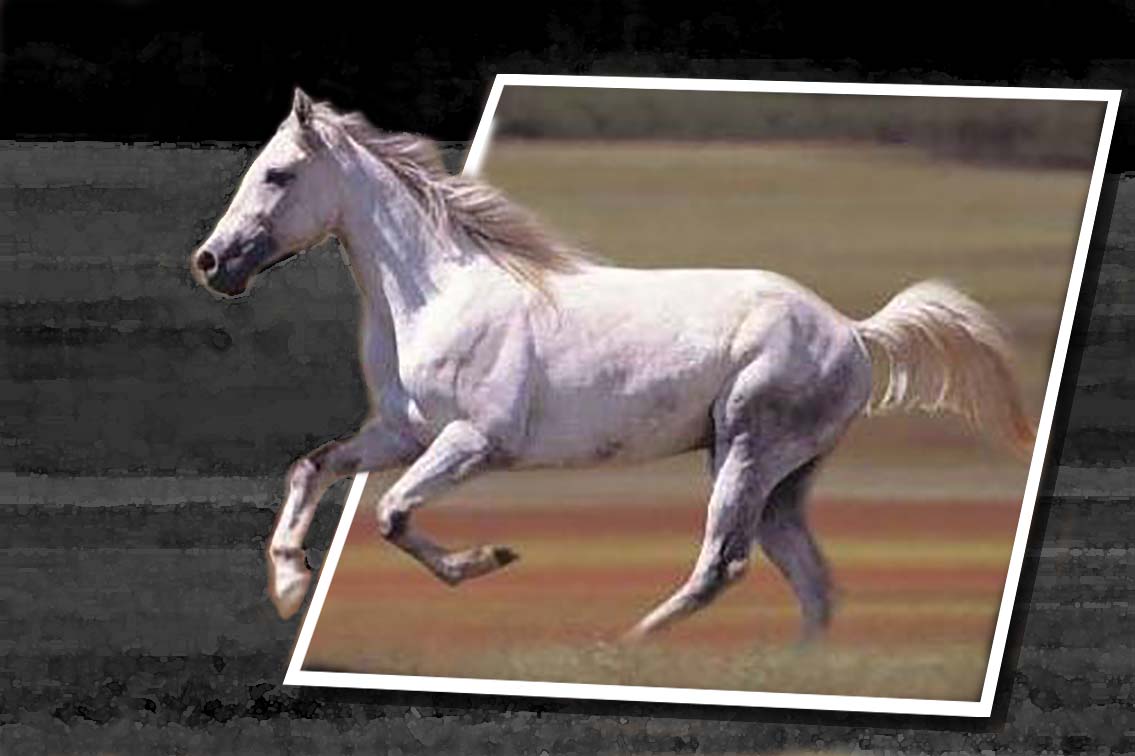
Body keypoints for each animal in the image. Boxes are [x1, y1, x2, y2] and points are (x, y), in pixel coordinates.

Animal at [190, 87, 1036, 643]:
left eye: (278, 174)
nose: (211, 262)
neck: (438, 293)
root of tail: (853, 332)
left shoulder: (474, 441)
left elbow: (393, 513)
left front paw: (492, 558)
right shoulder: (400, 433)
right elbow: (311, 468)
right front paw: (291, 586)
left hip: (747, 450)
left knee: (722, 564)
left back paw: (627, 647)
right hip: (783, 476)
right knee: (809, 581)